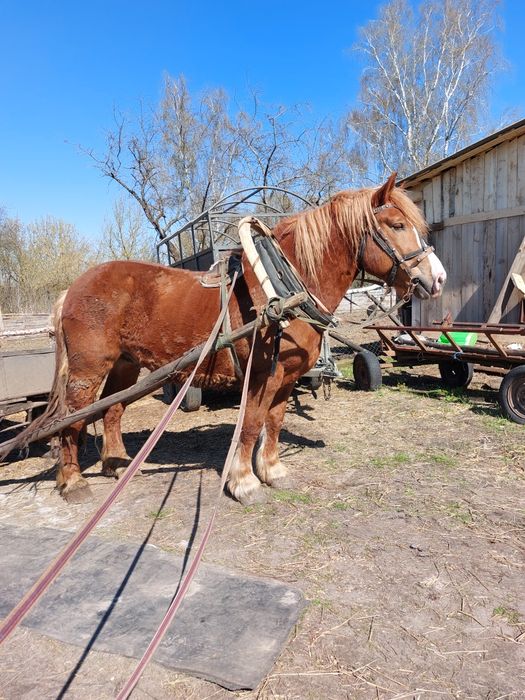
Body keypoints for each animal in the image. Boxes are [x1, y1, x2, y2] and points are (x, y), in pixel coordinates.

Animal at [2, 173, 446, 505]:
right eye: (397, 226)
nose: (437, 279)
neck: (281, 286)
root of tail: (73, 288)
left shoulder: (286, 376)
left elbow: (274, 422)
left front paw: (272, 471)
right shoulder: (260, 374)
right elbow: (250, 425)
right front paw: (244, 482)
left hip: (126, 366)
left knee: (111, 411)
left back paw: (116, 462)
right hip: (87, 370)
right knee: (70, 420)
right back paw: (73, 482)